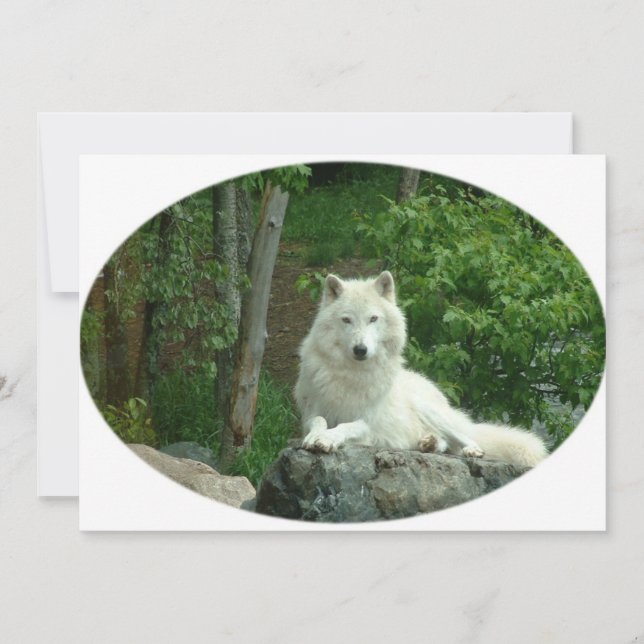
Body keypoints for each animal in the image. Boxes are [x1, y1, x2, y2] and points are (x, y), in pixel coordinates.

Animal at [295, 271, 548, 468]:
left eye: (373, 318)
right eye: (347, 320)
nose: (360, 350)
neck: (352, 375)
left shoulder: (369, 423)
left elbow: (347, 426)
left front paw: (327, 439)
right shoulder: (311, 412)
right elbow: (318, 421)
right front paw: (316, 436)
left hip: (430, 410)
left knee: (465, 439)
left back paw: (468, 449)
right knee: (445, 443)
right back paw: (428, 443)